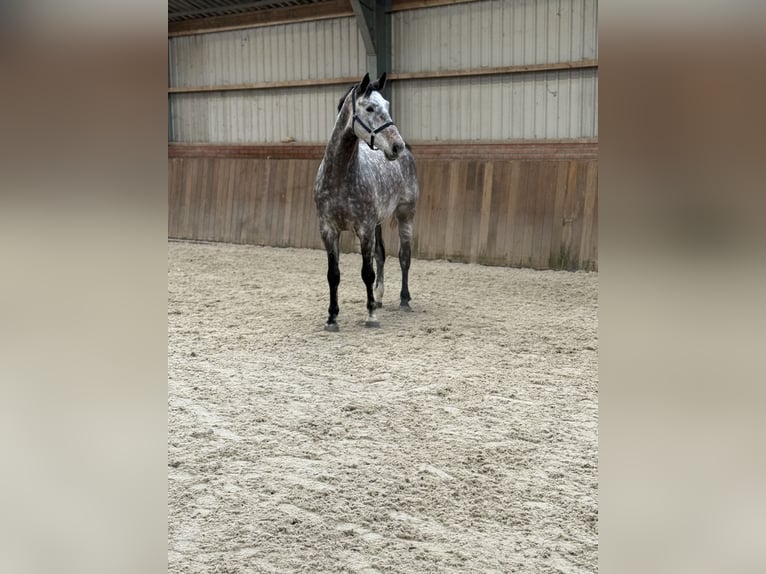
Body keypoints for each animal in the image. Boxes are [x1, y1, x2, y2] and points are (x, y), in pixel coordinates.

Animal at [314, 72, 419, 331]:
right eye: (370, 108)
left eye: (387, 106)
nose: (396, 146)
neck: (341, 176)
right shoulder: (328, 230)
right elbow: (334, 274)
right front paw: (332, 318)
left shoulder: (364, 228)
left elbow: (366, 273)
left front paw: (371, 316)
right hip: (378, 224)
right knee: (380, 255)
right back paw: (379, 298)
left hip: (405, 215)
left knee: (404, 256)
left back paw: (404, 300)